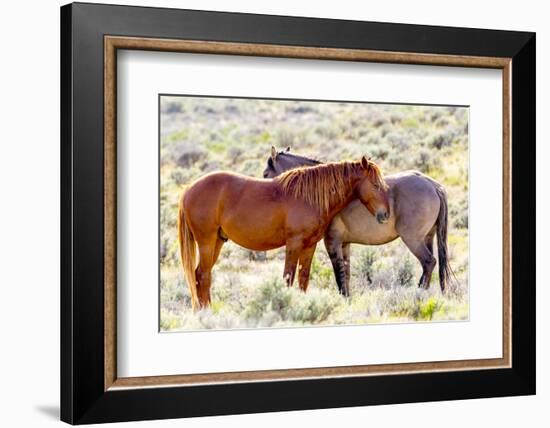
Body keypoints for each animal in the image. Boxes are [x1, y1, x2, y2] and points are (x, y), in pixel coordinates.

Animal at [179, 155, 390, 310]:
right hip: (206, 242)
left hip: (217, 242)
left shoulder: (309, 245)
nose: (385, 214)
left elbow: (303, 278)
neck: (308, 197)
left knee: (200, 275)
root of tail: (189, 189)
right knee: (203, 276)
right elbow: (288, 277)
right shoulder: (294, 244)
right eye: (375, 185)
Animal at [266, 145, 454, 296]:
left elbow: (339, 275)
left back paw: (419, 293)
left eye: (266, 173)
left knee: (429, 262)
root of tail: (432, 185)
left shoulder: (332, 242)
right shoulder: (344, 244)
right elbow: (346, 275)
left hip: (413, 240)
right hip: (427, 237)